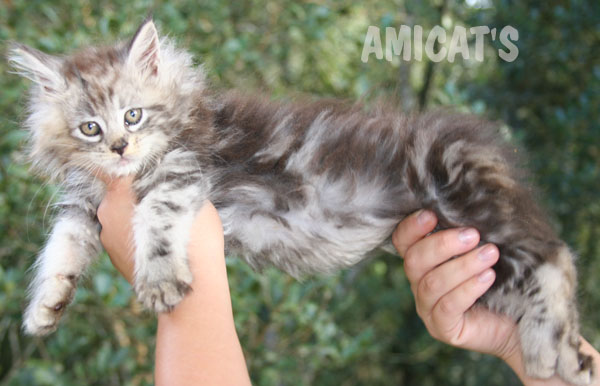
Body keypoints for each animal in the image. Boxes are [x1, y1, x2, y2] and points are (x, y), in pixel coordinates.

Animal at [9, 17, 596, 382]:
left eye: (133, 115)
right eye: (90, 128)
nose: (119, 147)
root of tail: (485, 142)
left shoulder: (186, 170)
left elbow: (155, 215)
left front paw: (158, 282)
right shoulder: (84, 204)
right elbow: (61, 242)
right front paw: (46, 305)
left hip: (461, 192)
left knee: (556, 256)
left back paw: (548, 349)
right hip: (477, 255)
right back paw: (564, 356)